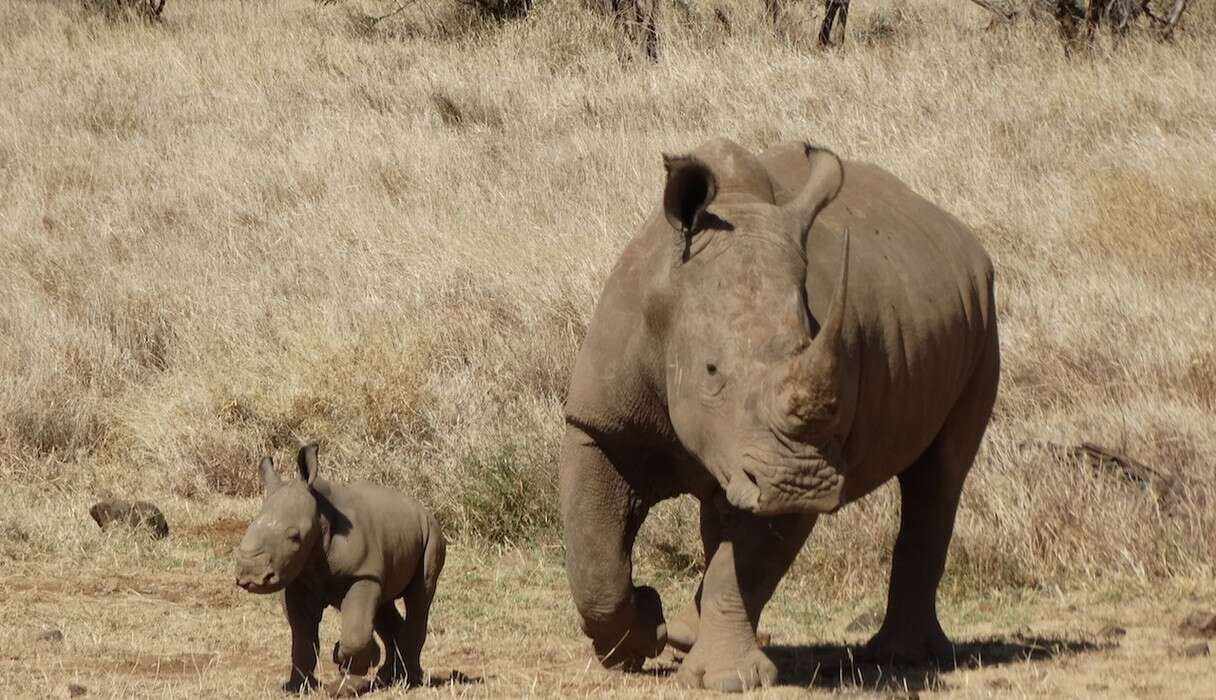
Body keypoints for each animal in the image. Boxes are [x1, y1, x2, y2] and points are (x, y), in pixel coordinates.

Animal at [234, 444, 445, 690]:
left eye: (295, 537)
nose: (251, 575)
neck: (321, 517)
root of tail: (422, 509)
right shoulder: (300, 577)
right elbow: (302, 635)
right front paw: (297, 687)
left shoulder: (362, 573)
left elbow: (355, 633)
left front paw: (345, 678)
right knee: (383, 604)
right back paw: (388, 677)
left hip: (431, 533)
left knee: (419, 597)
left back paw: (409, 681)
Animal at [559, 139, 997, 690]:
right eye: (710, 370)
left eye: (811, 346)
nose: (800, 483)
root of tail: (961, 236)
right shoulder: (603, 424)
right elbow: (594, 559)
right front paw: (640, 632)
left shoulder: (796, 454)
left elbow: (743, 567)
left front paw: (724, 679)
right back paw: (681, 636)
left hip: (984, 314)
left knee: (941, 474)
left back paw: (899, 657)